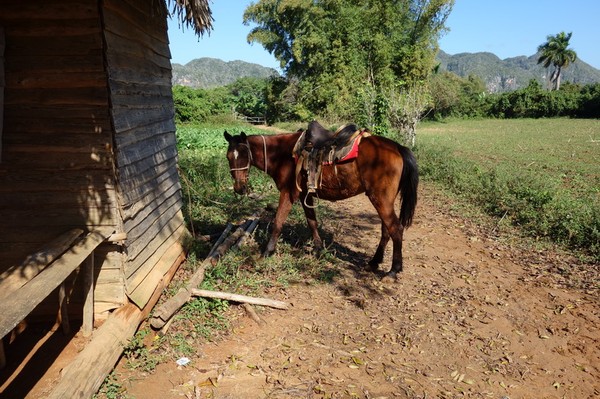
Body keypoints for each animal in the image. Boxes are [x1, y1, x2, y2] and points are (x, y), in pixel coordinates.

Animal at [224, 123, 418, 280]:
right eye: (228, 157)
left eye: (244, 156)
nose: (239, 188)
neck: (282, 154)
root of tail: (397, 147)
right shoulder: (305, 195)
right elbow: (312, 222)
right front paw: (319, 250)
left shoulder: (288, 192)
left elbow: (278, 220)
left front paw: (267, 251)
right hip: (384, 200)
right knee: (386, 230)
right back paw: (374, 262)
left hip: (380, 199)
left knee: (395, 229)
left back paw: (393, 271)